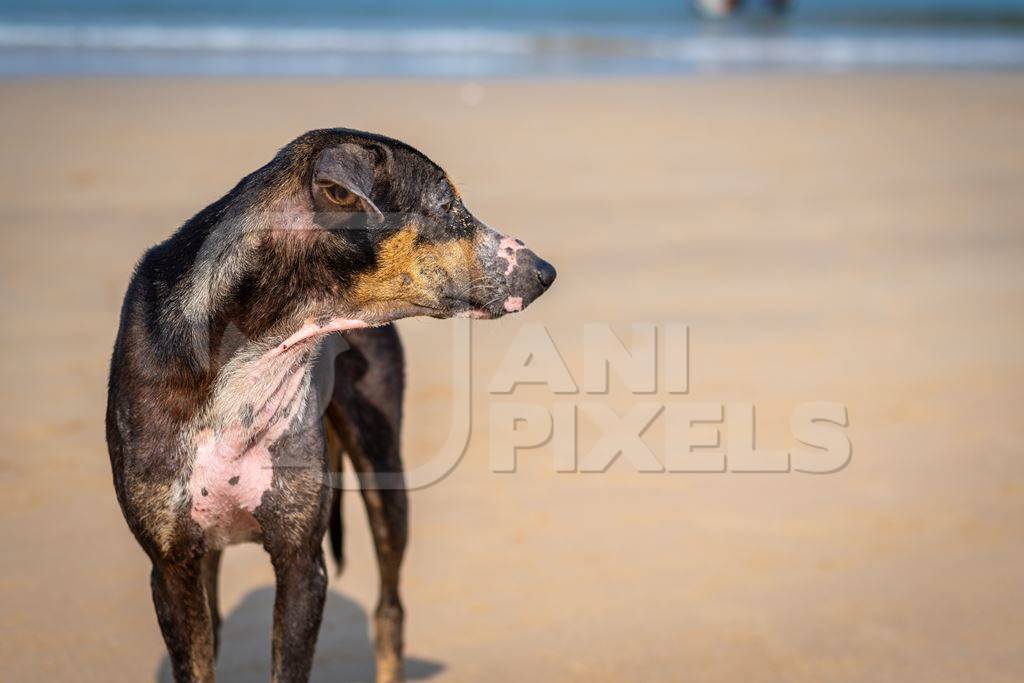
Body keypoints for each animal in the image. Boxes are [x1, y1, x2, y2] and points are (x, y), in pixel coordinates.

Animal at [104, 129, 557, 683]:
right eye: (447, 205)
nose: (545, 272)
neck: (252, 349)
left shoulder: (302, 563)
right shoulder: (171, 566)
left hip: (383, 470)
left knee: (389, 610)